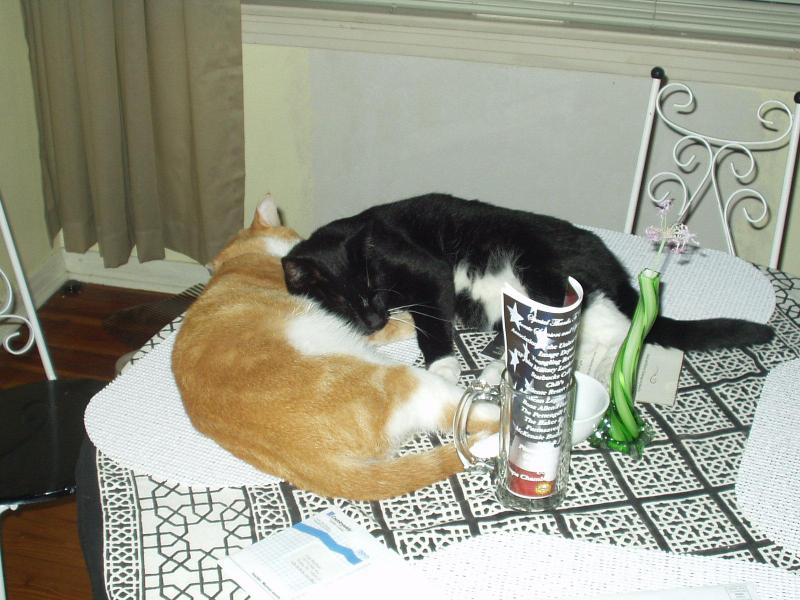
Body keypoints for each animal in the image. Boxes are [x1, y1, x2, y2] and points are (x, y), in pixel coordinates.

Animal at [171, 196, 498, 501]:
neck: (242, 263)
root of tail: (316, 464)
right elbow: (394, 324)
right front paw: (406, 318)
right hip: (409, 381)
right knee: (475, 416)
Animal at [282, 193, 774, 384]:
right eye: (344, 300)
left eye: (374, 287)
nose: (373, 320)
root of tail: (612, 263)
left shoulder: (426, 268)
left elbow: (431, 323)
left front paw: (442, 368)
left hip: (543, 268)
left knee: (603, 321)